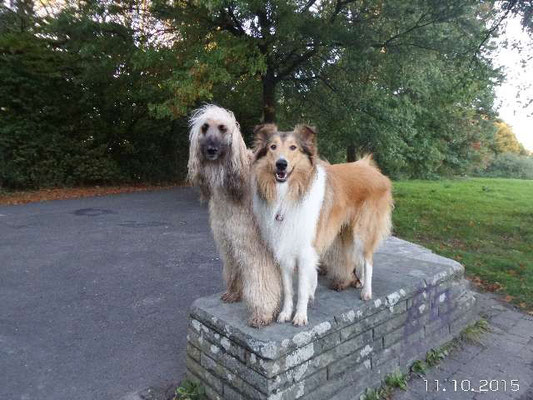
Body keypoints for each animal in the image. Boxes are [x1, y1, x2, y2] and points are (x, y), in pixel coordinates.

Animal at [187, 104, 280, 326]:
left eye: (222, 128)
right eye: (204, 127)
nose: (210, 150)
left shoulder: (255, 244)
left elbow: (260, 278)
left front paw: (262, 313)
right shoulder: (229, 238)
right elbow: (234, 266)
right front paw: (234, 293)